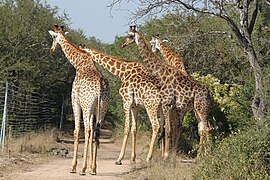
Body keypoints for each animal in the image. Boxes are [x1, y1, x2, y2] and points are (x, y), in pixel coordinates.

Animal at [48, 24, 108, 175]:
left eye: (53, 37)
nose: (52, 49)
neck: (79, 63)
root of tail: (100, 85)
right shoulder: (93, 110)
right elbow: (92, 132)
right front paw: (92, 167)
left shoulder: (75, 101)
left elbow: (76, 131)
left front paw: (73, 166)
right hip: (102, 108)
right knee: (96, 132)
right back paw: (93, 169)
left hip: (86, 106)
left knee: (87, 131)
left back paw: (82, 169)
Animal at [121, 25, 212, 158]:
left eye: (129, 35)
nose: (123, 44)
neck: (162, 73)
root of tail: (209, 94)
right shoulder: (169, 105)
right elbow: (168, 128)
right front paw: (168, 154)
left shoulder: (167, 104)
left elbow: (168, 129)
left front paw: (166, 155)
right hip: (196, 109)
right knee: (201, 129)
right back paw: (200, 155)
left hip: (201, 108)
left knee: (206, 128)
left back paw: (207, 155)